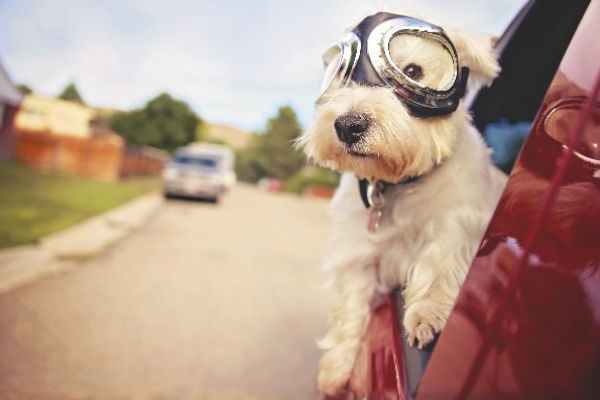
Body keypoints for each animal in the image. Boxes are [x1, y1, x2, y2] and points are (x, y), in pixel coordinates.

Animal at [298, 12, 508, 396]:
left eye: (413, 71)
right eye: (341, 75)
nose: (348, 125)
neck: (399, 183)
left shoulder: (459, 222)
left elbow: (439, 262)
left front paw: (427, 314)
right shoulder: (358, 254)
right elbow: (351, 308)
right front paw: (335, 369)